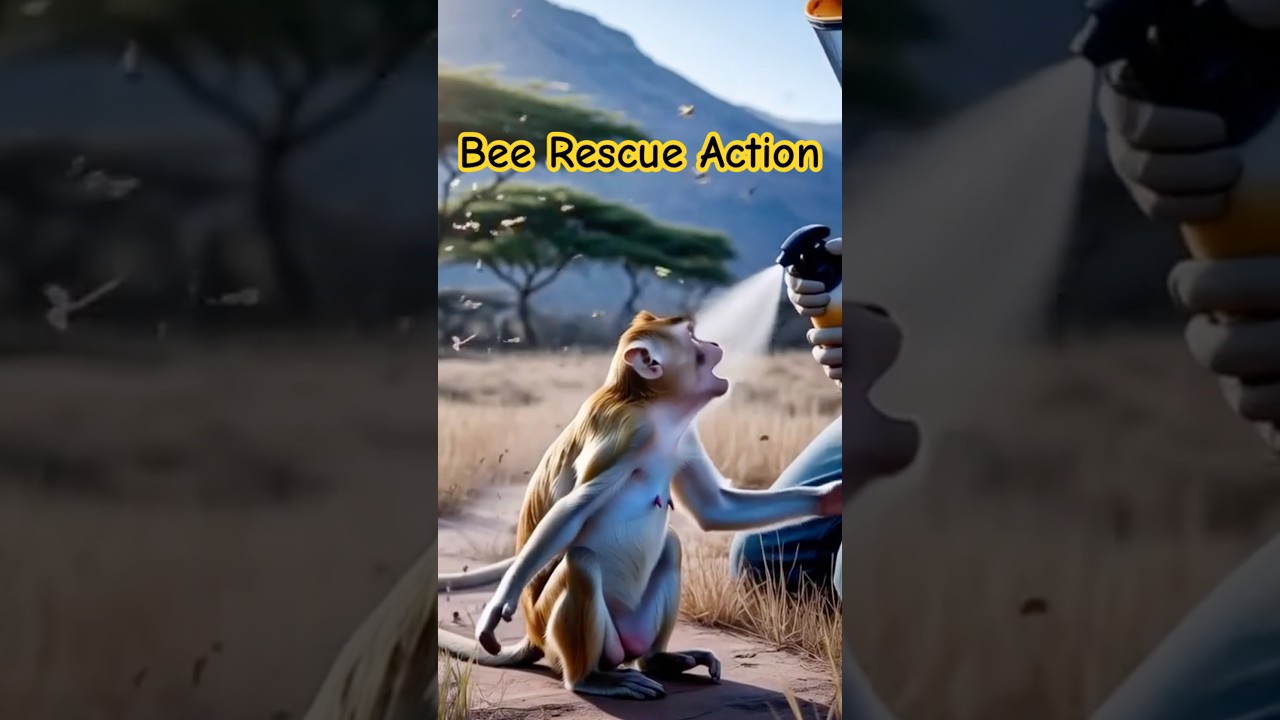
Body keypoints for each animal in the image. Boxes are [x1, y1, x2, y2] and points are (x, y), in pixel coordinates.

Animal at [437, 311, 844, 700]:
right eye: (692, 337)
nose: (713, 343)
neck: (652, 406)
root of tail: (535, 637)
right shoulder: (627, 432)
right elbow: (572, 510)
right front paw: (498, 606)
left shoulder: (683, 436)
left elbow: (714, 508)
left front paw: (830, 497)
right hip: (556, 627)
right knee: (581, 562)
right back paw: (590, 679)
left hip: (631, 627)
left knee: (671, 546)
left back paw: (657, 659)